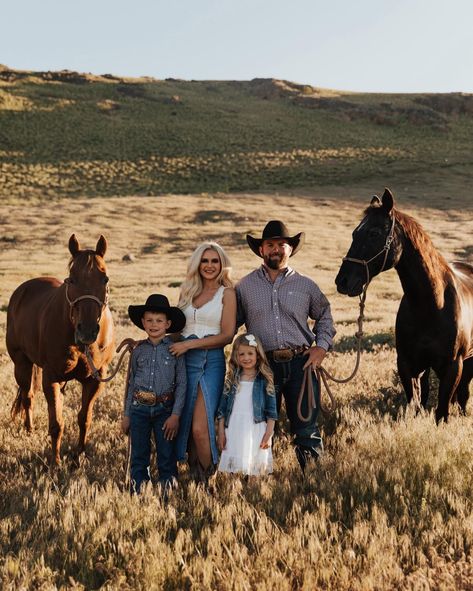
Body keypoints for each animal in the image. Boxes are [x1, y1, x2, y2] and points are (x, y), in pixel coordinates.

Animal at [6, 234, 114, 464]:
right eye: (71, 279)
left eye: (105, 279)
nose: (87, 330)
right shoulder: (51, 377)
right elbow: (56, 423)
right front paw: (55, 461)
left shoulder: (95, 379)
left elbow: (84, 418)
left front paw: (79, 454)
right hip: (21, 363)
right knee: (27, 396)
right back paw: (29, 430)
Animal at [334, 187, 472, 424]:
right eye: (354, 233)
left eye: (373, 233)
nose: (342, 281)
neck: (431, 306)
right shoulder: (408, 365)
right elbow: (416, 405)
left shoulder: (453, 366)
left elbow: (442, 412)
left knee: (463, 395)